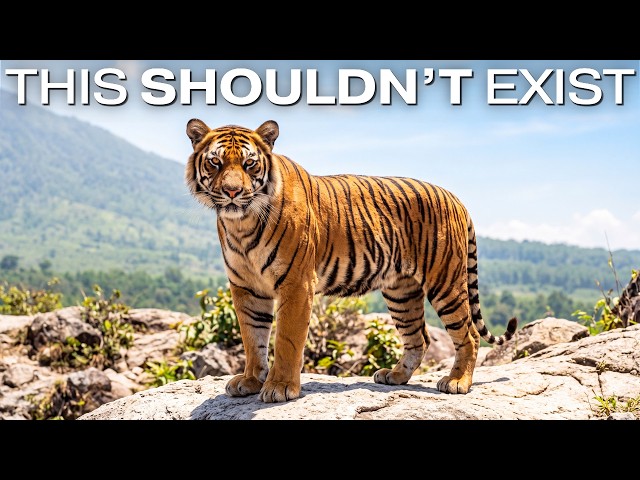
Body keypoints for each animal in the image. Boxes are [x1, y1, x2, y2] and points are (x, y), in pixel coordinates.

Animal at [185, 118, 518, 403]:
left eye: (250, 163)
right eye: (215, 162)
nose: (232, 191)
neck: (242, 223)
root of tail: (455, 198)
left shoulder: (296, 284)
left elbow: (286, 340)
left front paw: (279, 387)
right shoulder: (246, 287)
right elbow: (253, 338)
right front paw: (251, 381)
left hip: (445, 282)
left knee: (468, 335)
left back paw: (457, 382)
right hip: (401, 292)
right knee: (418, 338)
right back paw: (395, 376)